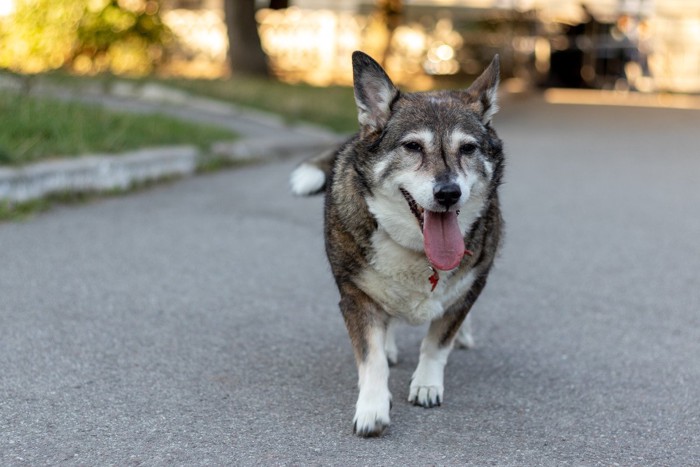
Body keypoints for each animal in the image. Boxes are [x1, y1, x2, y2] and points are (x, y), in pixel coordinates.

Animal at [288, 52, 504, 438]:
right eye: (413, 146)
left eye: (468, 148)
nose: (448, 193)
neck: (419, 250)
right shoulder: (355, 295)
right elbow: (371, 357)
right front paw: (372, 408)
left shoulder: (474, 281)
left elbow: (437, 341)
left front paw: (427, 384)